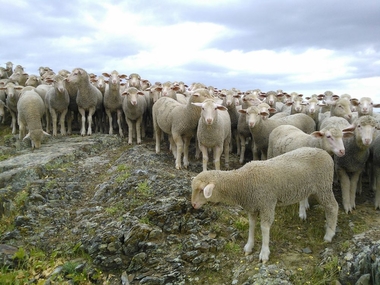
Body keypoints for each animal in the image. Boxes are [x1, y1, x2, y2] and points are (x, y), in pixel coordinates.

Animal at [193, 146, 338, 262]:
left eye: (201, 190)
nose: (193, 205)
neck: (242, 182)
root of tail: (325, 153)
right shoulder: (252, 206)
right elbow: (251, 225)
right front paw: (249, 246)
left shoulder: (267, 204)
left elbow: (264, 228)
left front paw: (264, 253)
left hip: (323, 185)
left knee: (333, 207)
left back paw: (329, 234)